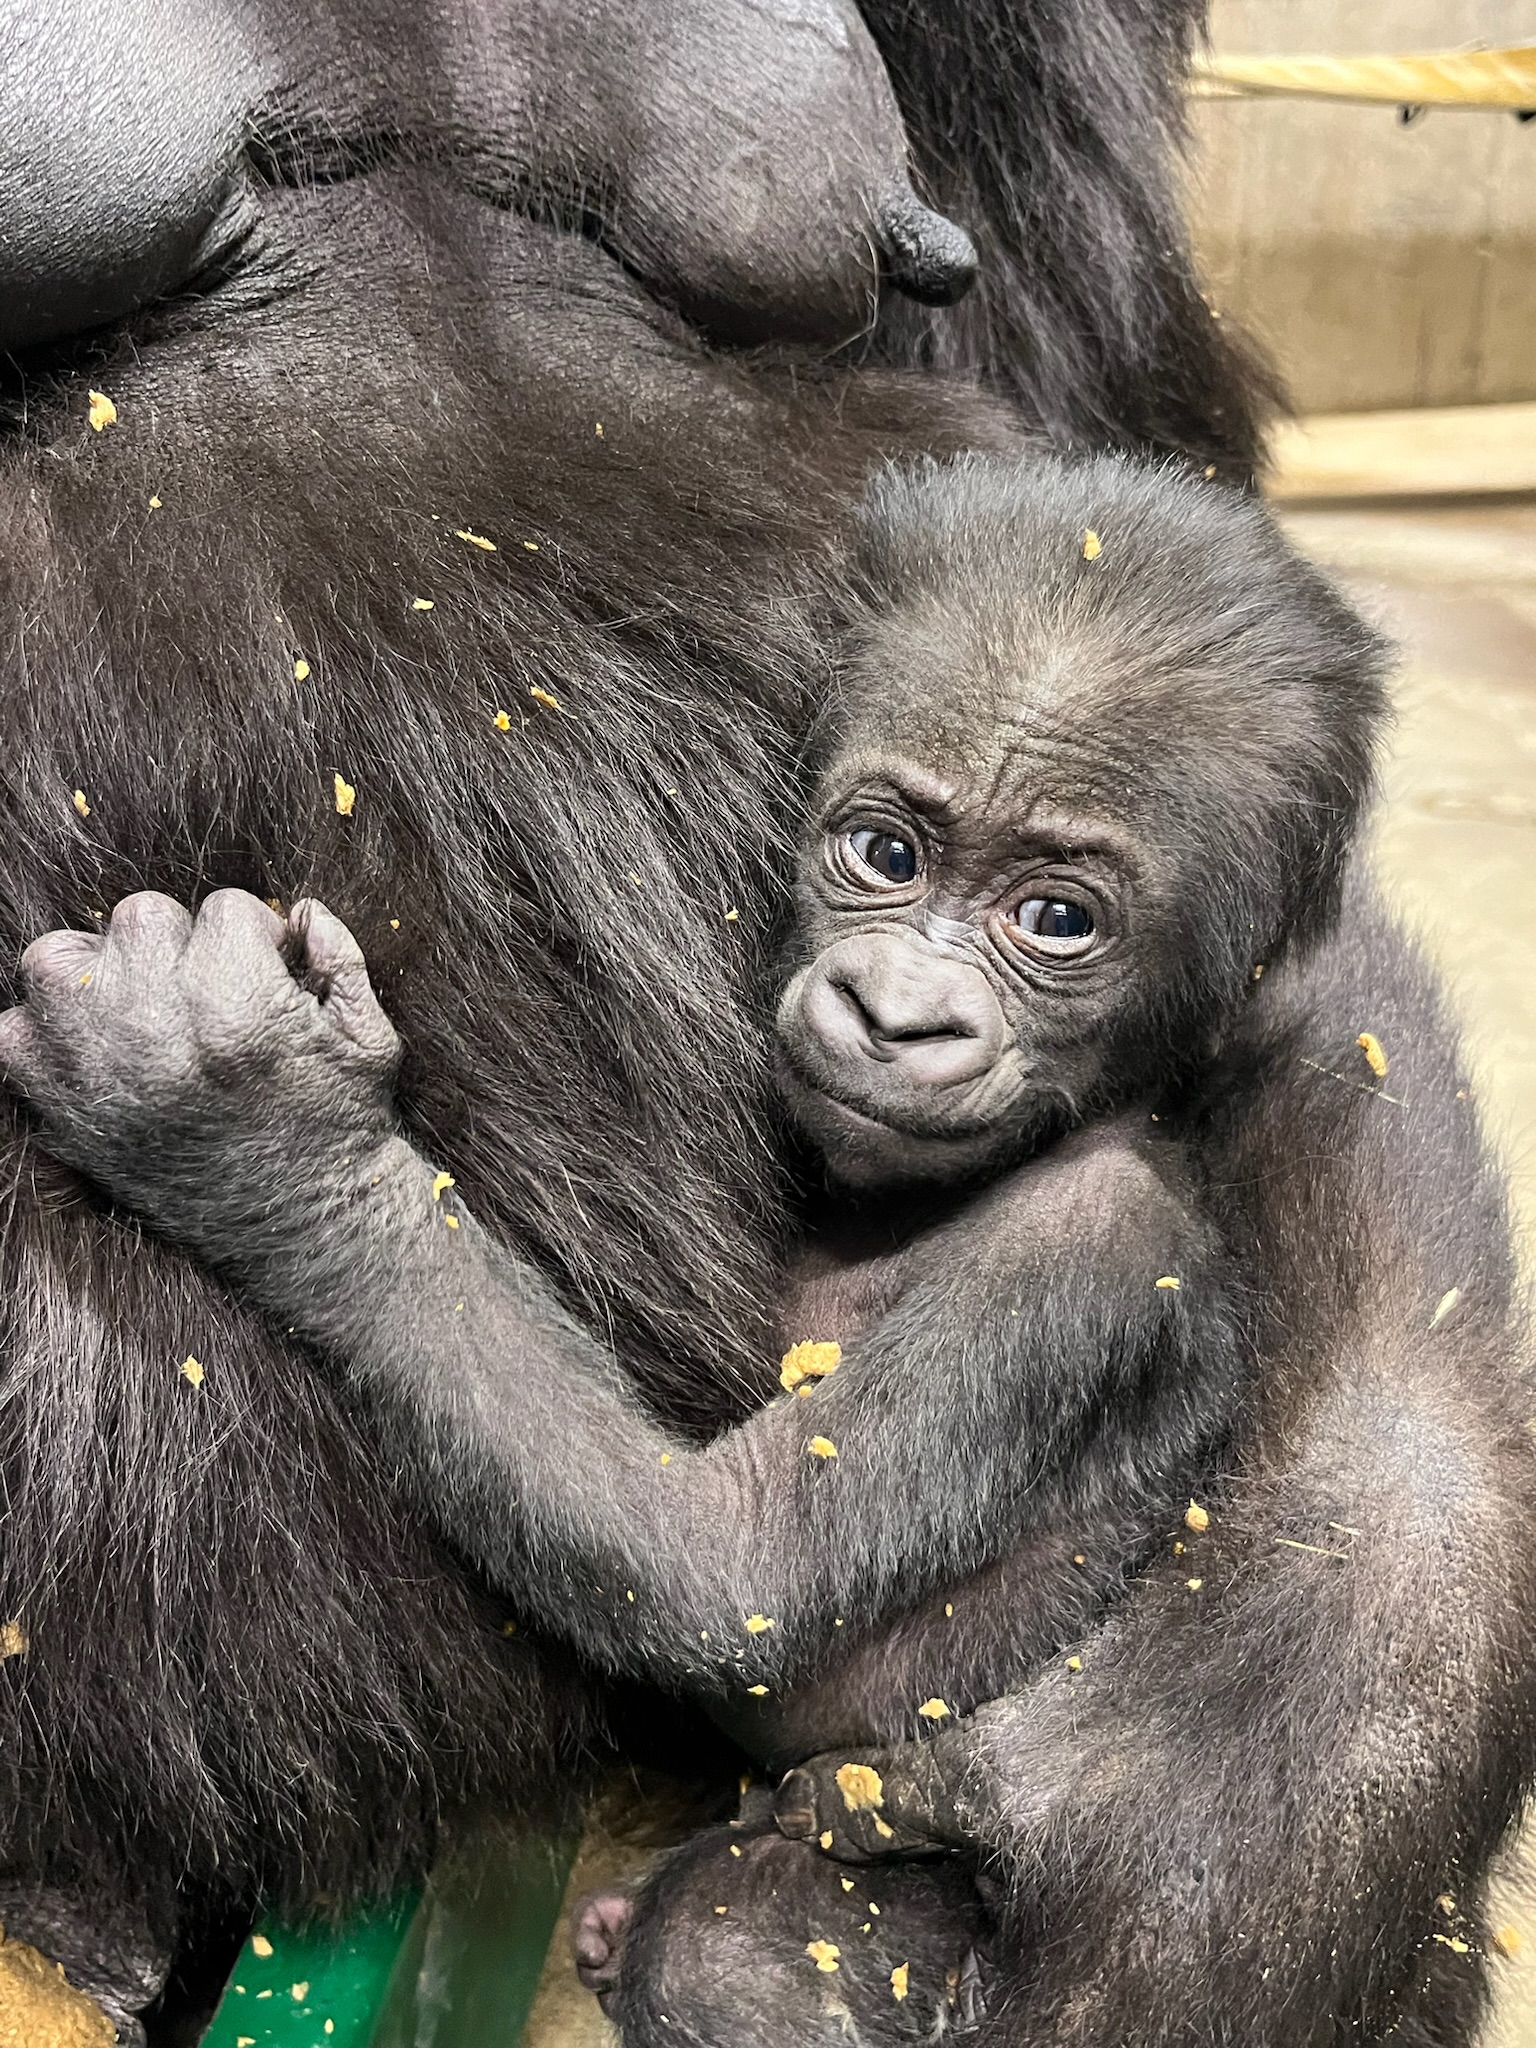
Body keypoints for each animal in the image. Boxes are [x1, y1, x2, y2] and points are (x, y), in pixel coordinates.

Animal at [3, 0, 1531, 2039]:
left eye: (1057, 920)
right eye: (881, 850)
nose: (902, 1011)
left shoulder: (1074, 1249)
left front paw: (1292, 1751)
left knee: (759, 1929)